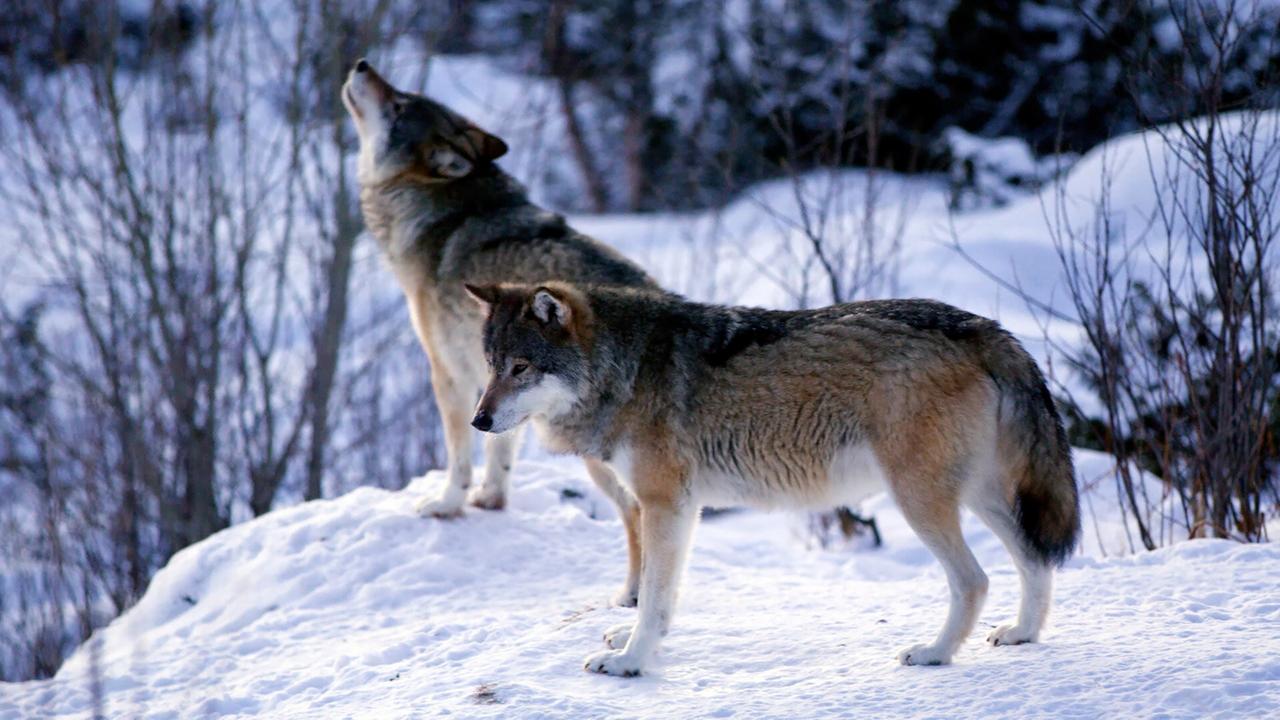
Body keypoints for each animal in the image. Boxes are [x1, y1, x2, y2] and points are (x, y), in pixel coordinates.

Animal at [342, 60, 657, 606]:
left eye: (400, 104)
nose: (362, 64)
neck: (447, 214)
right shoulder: (500, 380)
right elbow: (499, 447)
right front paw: (491, 500)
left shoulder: (448, 372)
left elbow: (459, 455)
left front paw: (447, 506)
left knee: (638, 516)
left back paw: (631, 597)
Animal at [464, 281, 1080, 676]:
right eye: (491, 366)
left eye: (522, 368)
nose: (478, 421)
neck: (627, 368)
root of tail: (984, 325)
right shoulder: (680, 509)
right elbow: (660, 597)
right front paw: (635, 641)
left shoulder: (665, 504)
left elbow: (655, 593)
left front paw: (630, 662)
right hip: (977, 495)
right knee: (1035, 560)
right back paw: (1022, 634)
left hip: (920, 499)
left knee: (975, 579)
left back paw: (934, 653)